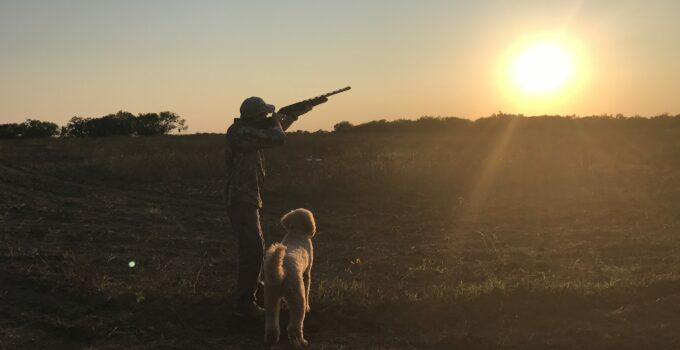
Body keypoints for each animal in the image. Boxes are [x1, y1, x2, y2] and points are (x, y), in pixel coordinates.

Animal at [262, 209, 316, 348]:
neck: (296, 231)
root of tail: (280, 272)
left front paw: (285, 305)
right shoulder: (306, 273)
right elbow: (307, 287)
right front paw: (309, 307)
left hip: (271, 298)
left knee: (272, 325)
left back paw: (270, 341)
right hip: (297, 296)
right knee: (294, 327)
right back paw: (301, 342)